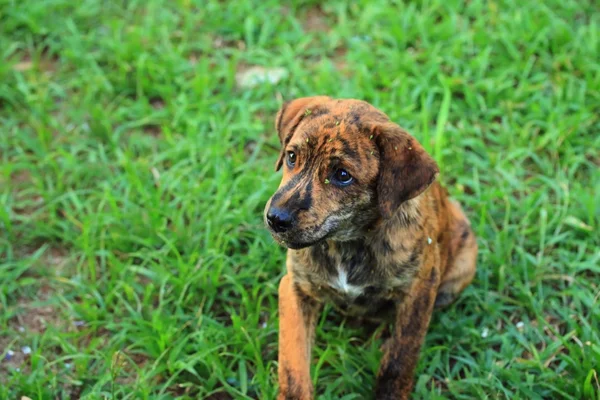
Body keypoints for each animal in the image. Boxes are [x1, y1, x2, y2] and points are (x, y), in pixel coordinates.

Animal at [262, 95, 478, 398]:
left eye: (343, 175)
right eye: (292, 156)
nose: (276, 219)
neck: (347, 242)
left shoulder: (418, 292)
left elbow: (400, 359)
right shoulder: (295, 288)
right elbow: (293, 363)